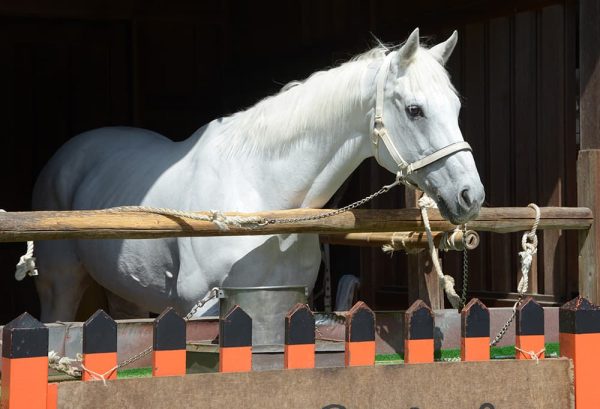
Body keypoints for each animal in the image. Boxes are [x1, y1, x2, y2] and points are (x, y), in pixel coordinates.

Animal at [31, 29, 482, 322]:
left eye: (458, 107)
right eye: (414, 109)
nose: (471, 195)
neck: (264, 205)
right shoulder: (201, 311)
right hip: (60, 286)